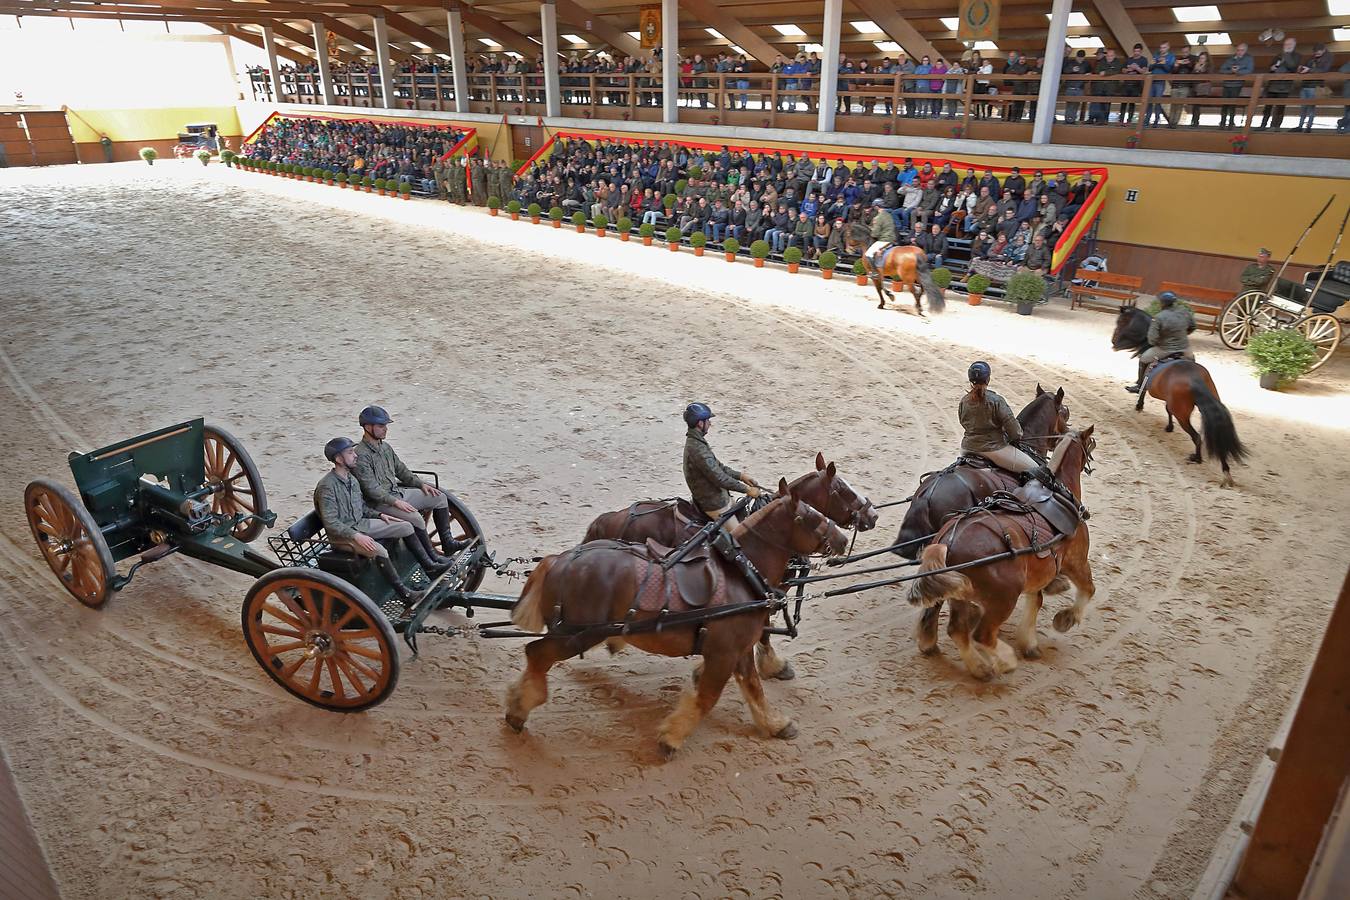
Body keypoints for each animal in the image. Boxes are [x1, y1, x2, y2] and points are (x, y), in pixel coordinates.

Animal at [510, 485, 847, 761]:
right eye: (810, 517)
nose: (843, 539)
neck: (743, 573)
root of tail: (558, 560)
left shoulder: (738, 650)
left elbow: (755, 690)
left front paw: (775, 724)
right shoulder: (723, 653)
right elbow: (707, 698)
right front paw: (670, 737)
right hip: (575, 635)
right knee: (536, 653)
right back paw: (519, 709)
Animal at [907, 426, 1096, 680]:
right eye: (1090, 443)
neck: (1057, 492)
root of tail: (948, 542)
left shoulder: (1037, 576)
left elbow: (1036, 601)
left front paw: (1029, 643)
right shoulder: (1077, 561)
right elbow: (1088, 589)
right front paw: (1065, 619)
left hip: (959, 595)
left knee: (955, 628)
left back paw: (976, 666)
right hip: (1003, 599)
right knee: (981, 635)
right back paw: (1005, 662)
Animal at [1112, 304, 1247, 488]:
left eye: (1120, 322)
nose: (1113, 341)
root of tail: (1194, 378)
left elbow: (1143, 388)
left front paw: (1139, 404)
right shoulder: (1169, 400)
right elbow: (1167, 410)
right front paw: (1169, 426)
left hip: (1182, 414)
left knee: (1197, 437)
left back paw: (1196, 458)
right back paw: (1225, 471)